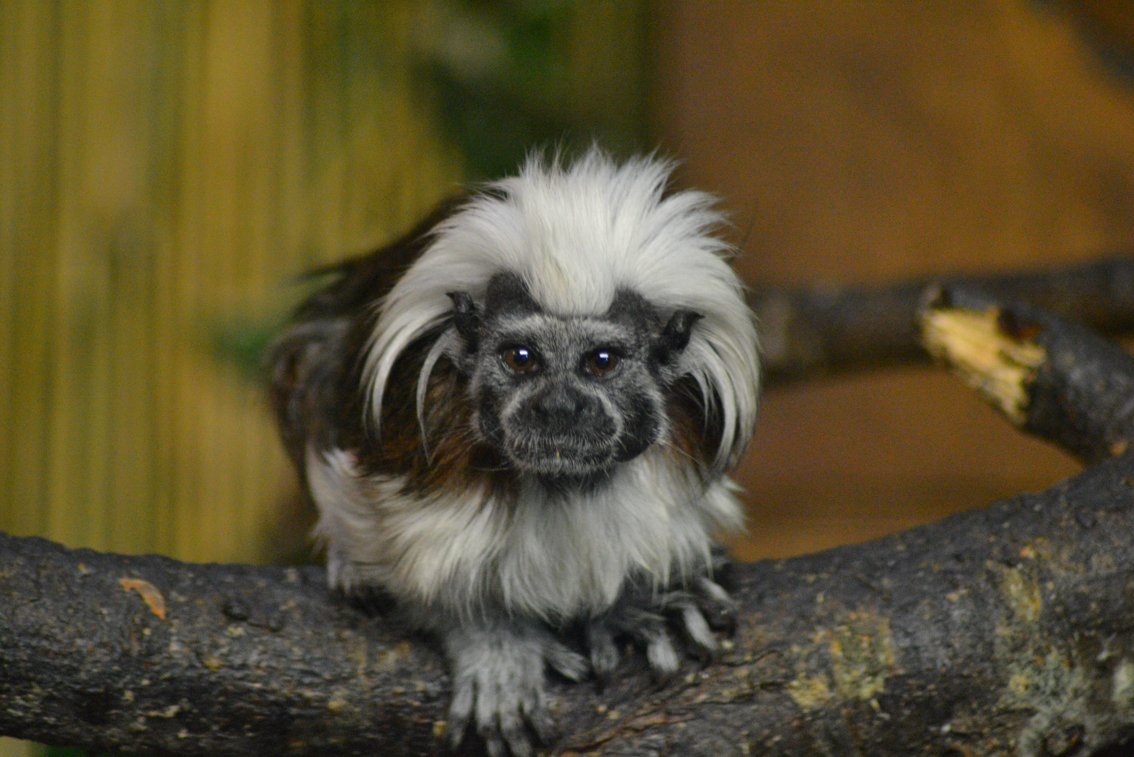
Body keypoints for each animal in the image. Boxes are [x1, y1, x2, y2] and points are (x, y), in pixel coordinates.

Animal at [268, 148, 760, 756]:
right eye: (520, 358)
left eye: (600, 362)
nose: (558, 407)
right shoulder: (411, 445)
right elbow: (407, 564)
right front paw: (493, 642)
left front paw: (633, 602)